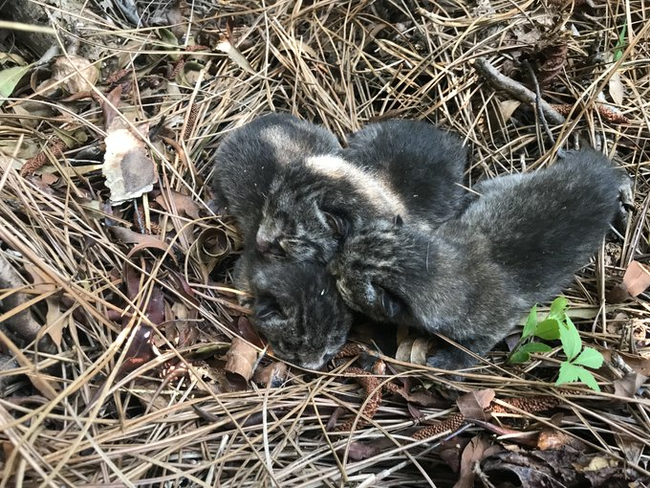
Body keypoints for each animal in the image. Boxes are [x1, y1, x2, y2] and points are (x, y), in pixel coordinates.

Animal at [330, 149, 624, 370]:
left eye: (344, 278)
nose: (333, 266)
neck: (447, 265)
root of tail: (600, 174)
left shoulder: (496, 323)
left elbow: (476, 346)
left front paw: (449, 361)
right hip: (502, 183)